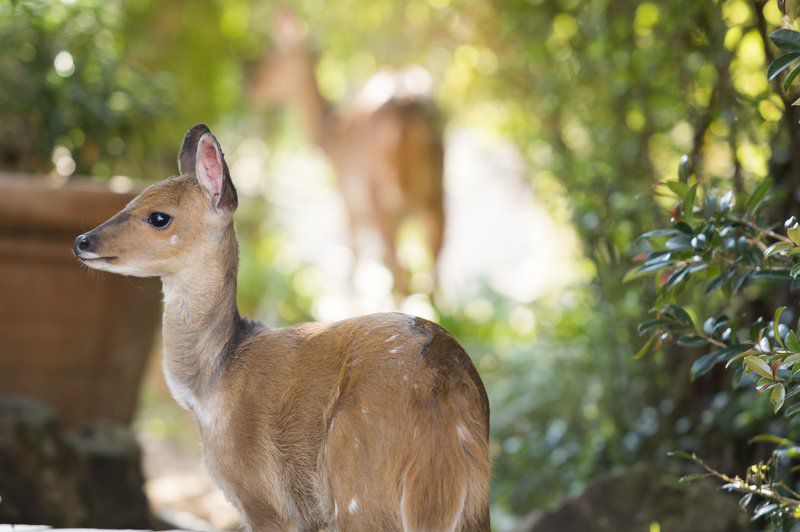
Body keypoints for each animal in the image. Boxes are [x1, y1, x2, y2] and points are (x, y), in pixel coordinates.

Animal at [75, 123, 490, 528]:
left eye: (159, 217)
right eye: (129, 201)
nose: (82, 240)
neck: (210, 387)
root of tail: (440, 400)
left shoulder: (263, 501)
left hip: (358, 489)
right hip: (472, 507)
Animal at [250, 10, 446, 298]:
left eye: (274, 59)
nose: (251, 85)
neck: (328, 142)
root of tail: (406, 106)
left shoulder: (347, 199)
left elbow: (352, 261)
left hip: (379, 192)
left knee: (403, 277)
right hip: (436, 185)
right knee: (433, 269)